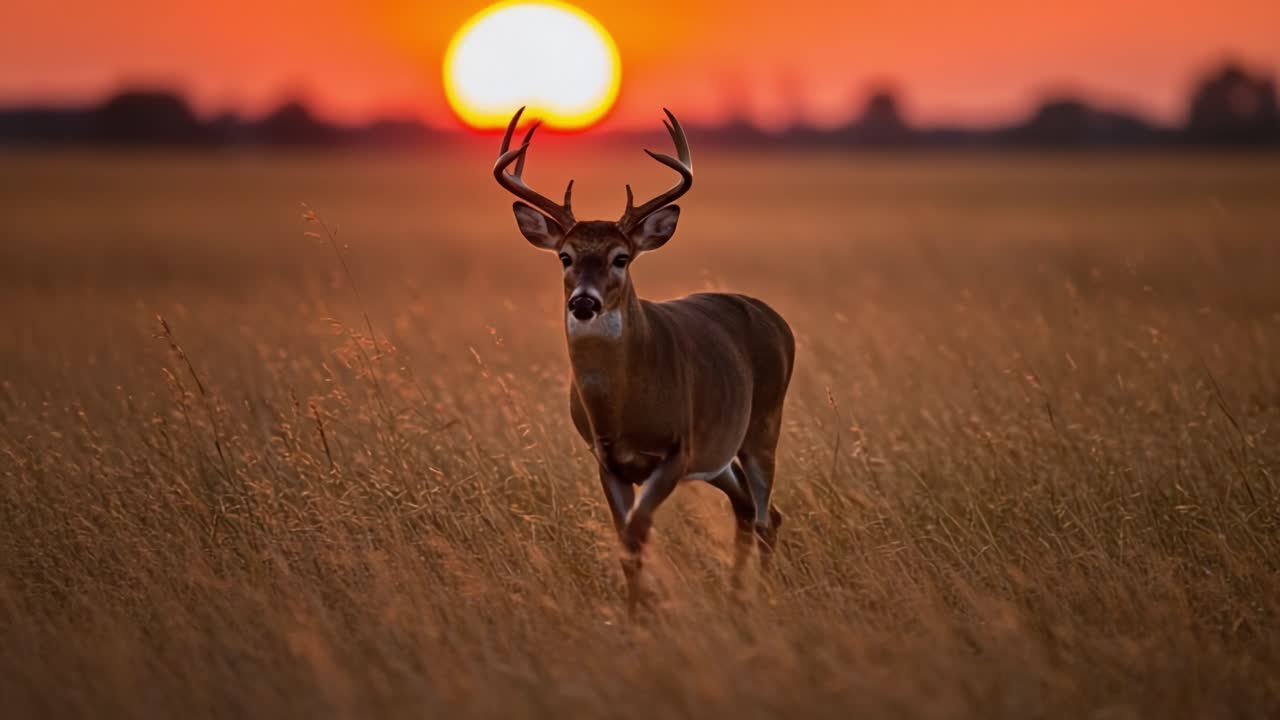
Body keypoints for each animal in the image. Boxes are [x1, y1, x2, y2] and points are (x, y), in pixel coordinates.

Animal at [493, 107, 795, 613]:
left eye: (621, 258)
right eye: (565, 256)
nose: (584, 302)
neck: (622, 411)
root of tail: (778, 321)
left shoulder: (676, 449)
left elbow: (636, 532)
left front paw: (648, 609)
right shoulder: (607, 460)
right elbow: (626, 542)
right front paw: (637, 614)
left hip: (762, 427)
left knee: (765, 517)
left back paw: (765, 598)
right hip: (719, 454)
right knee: (751, 510)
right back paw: (735, 597)